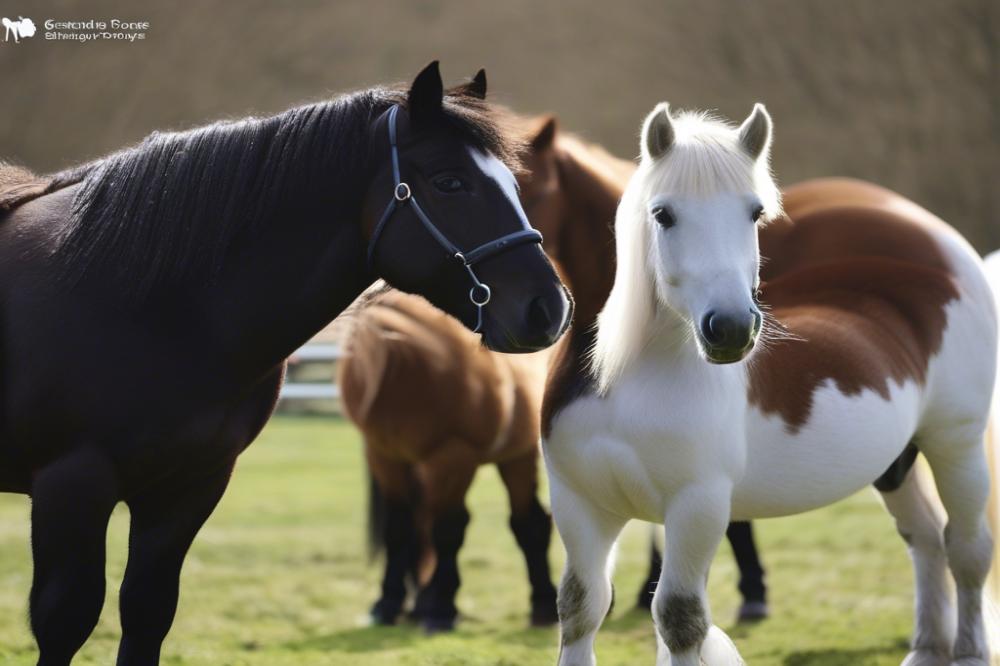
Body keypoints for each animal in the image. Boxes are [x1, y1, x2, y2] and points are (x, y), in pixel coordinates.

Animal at [0, 59, 572, 660]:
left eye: (514, 183)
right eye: (449, 181)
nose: (548, 307)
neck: (148, 303)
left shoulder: (188, 489)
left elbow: (146, 614)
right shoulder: (72, 486)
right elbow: (66, 621)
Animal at [544, 101, 1000, 660]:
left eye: (755, 213)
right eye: (663, 214)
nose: (731, 328)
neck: (626, 374)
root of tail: (945, 251)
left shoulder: (698, 506)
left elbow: (679, 618)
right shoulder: (580, 504)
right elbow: (580, 608)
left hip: (955, 443)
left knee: (968, 549)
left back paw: (970, 652)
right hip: (897, 462)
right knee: (927, 538)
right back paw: (927, 649)